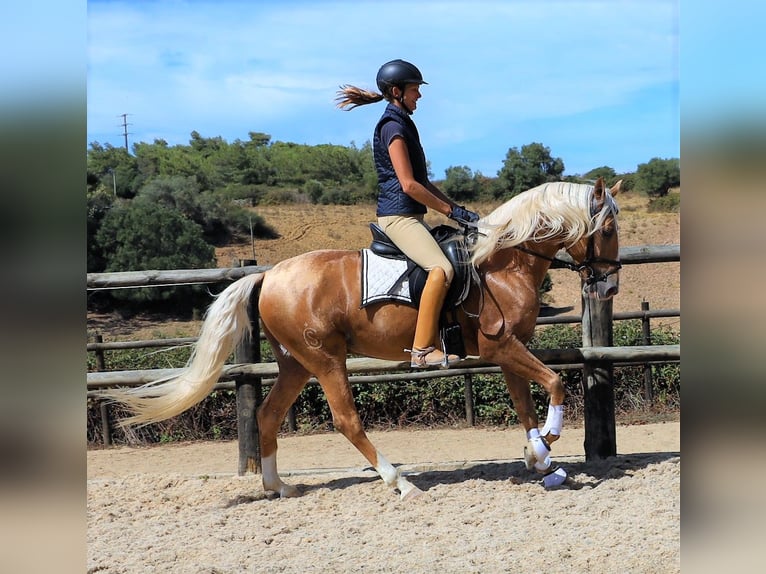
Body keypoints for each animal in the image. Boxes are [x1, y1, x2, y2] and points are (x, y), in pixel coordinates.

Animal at [105, 178, 620, 502]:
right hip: (326, 359)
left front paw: (542, 460)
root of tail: (268, 274)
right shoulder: (500, 346)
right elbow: (554, 383)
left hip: (296, 363)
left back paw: (279, 487)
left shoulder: (508, 348)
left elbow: (526, 405)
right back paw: (401, 483)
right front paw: (548, 445)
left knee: (268, 415)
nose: (609, 286)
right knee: (347, 421)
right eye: (610, 228)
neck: (502, 262)